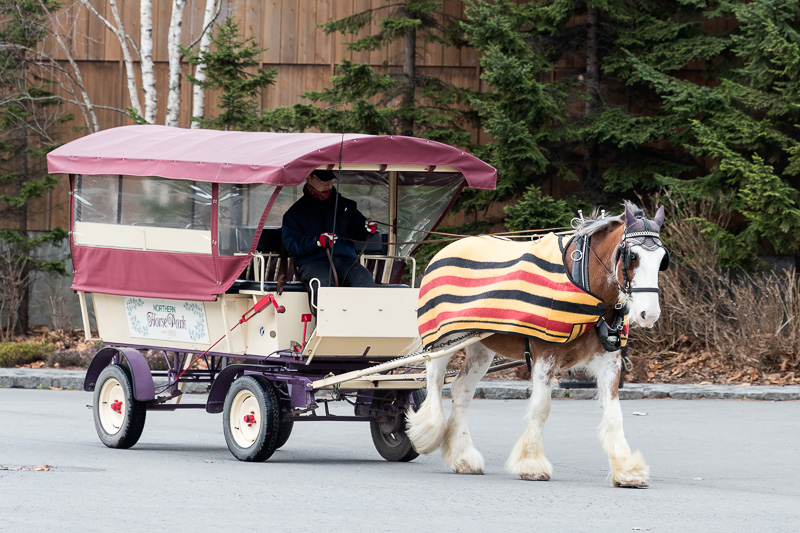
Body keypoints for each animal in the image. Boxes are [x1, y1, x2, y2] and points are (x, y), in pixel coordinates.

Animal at [407, 202, 669, 487]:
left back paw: (462, 457)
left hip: (481, 347)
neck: (586, 288)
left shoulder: (609, 361)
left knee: (461, 390)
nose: (649, 314)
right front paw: (531, 464)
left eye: (662, 260)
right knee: (433, 381)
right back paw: (427, 432)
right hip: (443, 341)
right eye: (632, 256)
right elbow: (541, 407)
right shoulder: (545, 355)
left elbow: (614, 413)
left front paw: (626, 469)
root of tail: (445, 250)